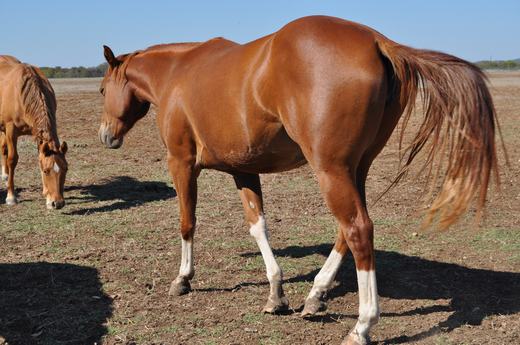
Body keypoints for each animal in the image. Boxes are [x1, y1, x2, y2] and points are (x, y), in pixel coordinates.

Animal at [0, 55, 68, 208]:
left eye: (66, 169)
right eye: (46, 171)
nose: (58, 203)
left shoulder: (37, 133)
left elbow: (40, 157)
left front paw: (46, 195)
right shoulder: (10, 130)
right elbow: (12, 159)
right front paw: (11, 196)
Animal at [98, 15, 500, 342]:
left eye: (102, 89)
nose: (105, 135)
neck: (177, 73)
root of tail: (375, 41)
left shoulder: (181, 163)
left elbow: (187, 222)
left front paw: (183, 279)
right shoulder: (244, 170)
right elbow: (258, 226)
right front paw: (276, 294)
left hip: (330, 170)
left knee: (358, 230)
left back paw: (362, 326)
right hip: (355, 169)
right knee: (347, 230)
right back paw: (316, 295)